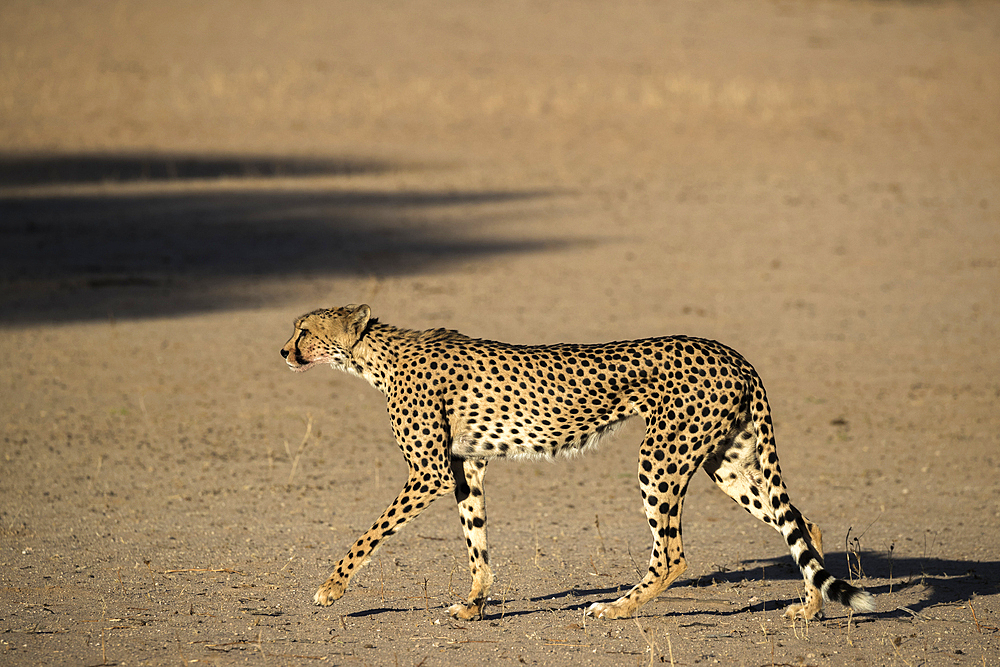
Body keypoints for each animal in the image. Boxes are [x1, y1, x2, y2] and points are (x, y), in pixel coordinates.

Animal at [282, 306, 876, 624]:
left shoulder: (428, 472)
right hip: (723, 461)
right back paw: (809, 609)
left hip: (660, 459)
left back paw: (615, 609)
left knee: (673, 555)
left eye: (304, 331)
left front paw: (331, 588)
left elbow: (371, 533)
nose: (284, 352)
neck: (375, 356)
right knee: (801, 521)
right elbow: (476, 541)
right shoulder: (465, 467)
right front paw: (474, 605)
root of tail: (736, 355)